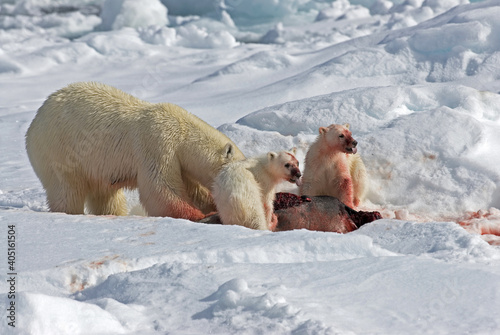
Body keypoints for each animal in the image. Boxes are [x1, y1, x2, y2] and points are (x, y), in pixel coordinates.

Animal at [26, 82, 245, 220]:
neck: (181, 130)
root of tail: (33, 124)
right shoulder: (158, 144)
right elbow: (160, 188)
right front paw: (201, 215)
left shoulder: (179, 160)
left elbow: (193, 188)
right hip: (59, 152)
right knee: (67, 190)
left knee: (106, 195)